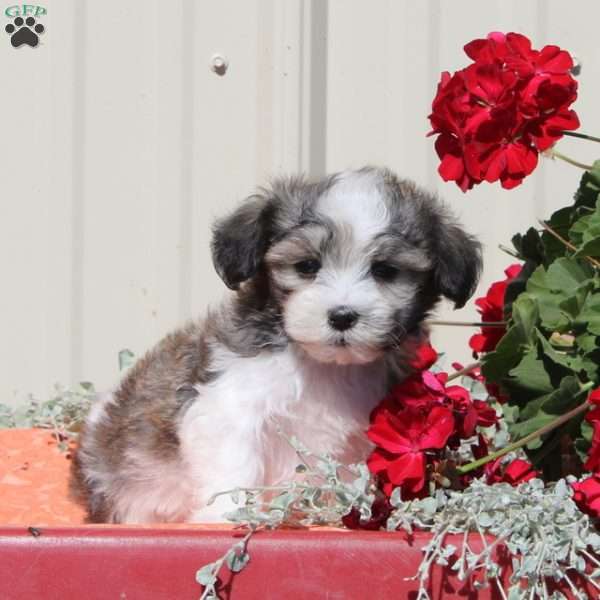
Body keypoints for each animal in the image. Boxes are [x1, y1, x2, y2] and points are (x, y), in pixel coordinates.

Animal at [71, 166, 482, 524]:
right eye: (307, 266)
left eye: (384, 271)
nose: (342, 316)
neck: (323, 364)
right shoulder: (230, 408)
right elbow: (234, 467)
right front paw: (228, 515)